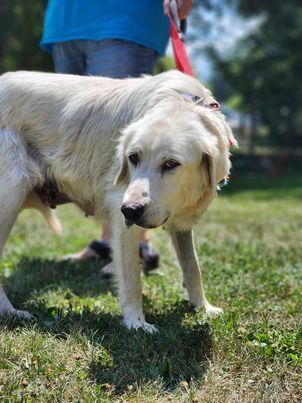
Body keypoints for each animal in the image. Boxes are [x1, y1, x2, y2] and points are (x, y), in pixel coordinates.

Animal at [0, 70, 236, 334]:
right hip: (12, 192)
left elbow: (192, 266)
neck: (181, 102)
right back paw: (10, 312)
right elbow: (132, 277)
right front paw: (137, 323)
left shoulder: (180, 225)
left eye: (171, 164)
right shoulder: (120, 214)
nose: (130, 210)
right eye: (133, 158)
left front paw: (202, 308)